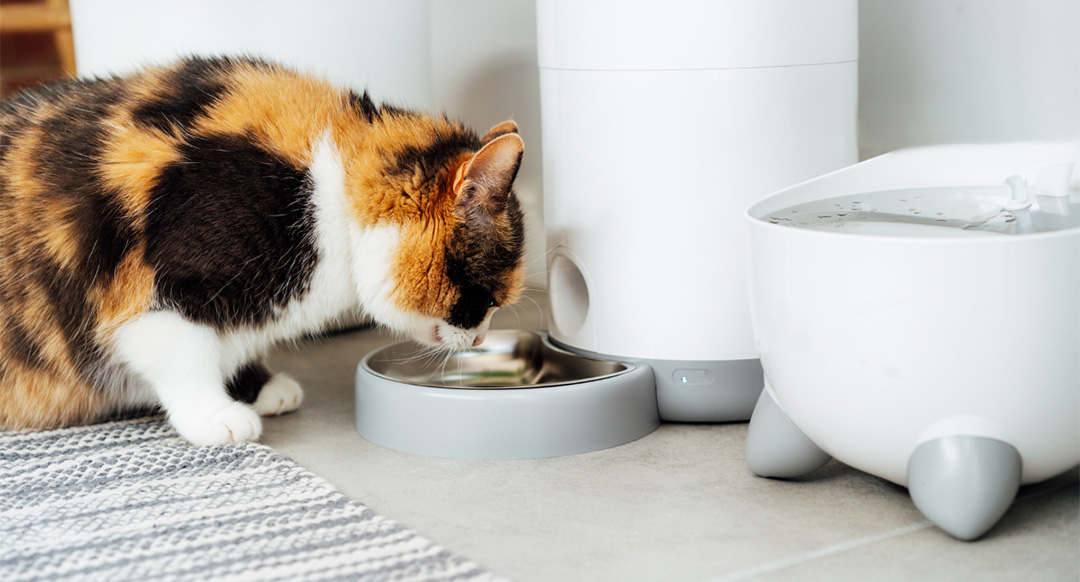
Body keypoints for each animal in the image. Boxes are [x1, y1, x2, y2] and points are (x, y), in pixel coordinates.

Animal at [0, 55, 522, 447]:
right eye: (487, 298)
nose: (480, 339)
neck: (323, 188)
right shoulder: (158, 292)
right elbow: (184, 353)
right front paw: (215, 415)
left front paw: (258, 387)